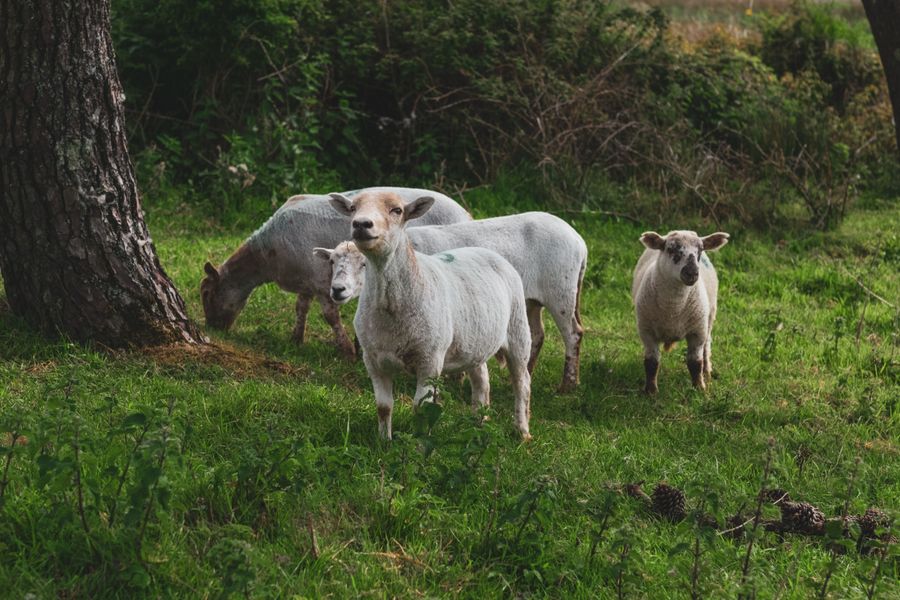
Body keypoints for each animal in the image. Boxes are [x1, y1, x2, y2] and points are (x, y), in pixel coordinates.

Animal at [200, 187, 470, 356]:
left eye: (207, 294)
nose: (212, 327)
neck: (265, 255)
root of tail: (465, 213)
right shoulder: (307, 279)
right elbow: (300, 309)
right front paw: (296, 339)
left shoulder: (321, 281)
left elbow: (331, 316)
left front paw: (347, 350)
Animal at [313, 212, 587, 391]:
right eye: (332, 262)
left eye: (364, 264)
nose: (337, 290)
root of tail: (580, 241)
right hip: (530, 299)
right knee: (537, 335)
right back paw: (527, 371)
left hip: (561, 292)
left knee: (573, 334)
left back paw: (568, 384)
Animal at [328, 190, 533, 440]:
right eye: (353, 208)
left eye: (397, 210)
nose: (361, 224)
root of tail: (489, 253)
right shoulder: (373, 360)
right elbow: (383, 406)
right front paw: (384, 442)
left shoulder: (430, 360)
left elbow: (420, 407)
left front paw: (417, 443)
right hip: (475, 341)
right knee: (482, 380)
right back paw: (478, 424)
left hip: (518, 330)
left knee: (522, 383)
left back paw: (522, 432)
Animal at [631, 230, 729, 394]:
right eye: (670, 249)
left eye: (700, 250)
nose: (692, 272)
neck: (673, 308)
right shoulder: (646, 331)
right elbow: (651, 362)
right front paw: (651, 391)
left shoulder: (697, 331)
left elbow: (695, 362)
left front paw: (699, 389)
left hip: (709, 317)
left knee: (707, 346)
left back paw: (707, 371)